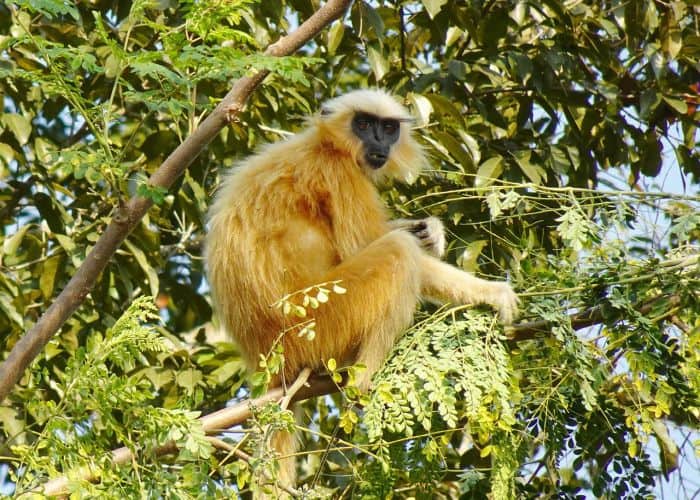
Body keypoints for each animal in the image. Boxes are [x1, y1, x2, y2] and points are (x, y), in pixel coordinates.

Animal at [205, 88, 516, 490]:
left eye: (388, 128)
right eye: (364, 124)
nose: (378, 142)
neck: (323, 145)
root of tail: (265, 356)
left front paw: (430, 231)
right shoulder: (341, 176)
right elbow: (368, 245)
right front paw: (491, 292)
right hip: (320, 321)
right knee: (398, 253)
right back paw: (363, 381)